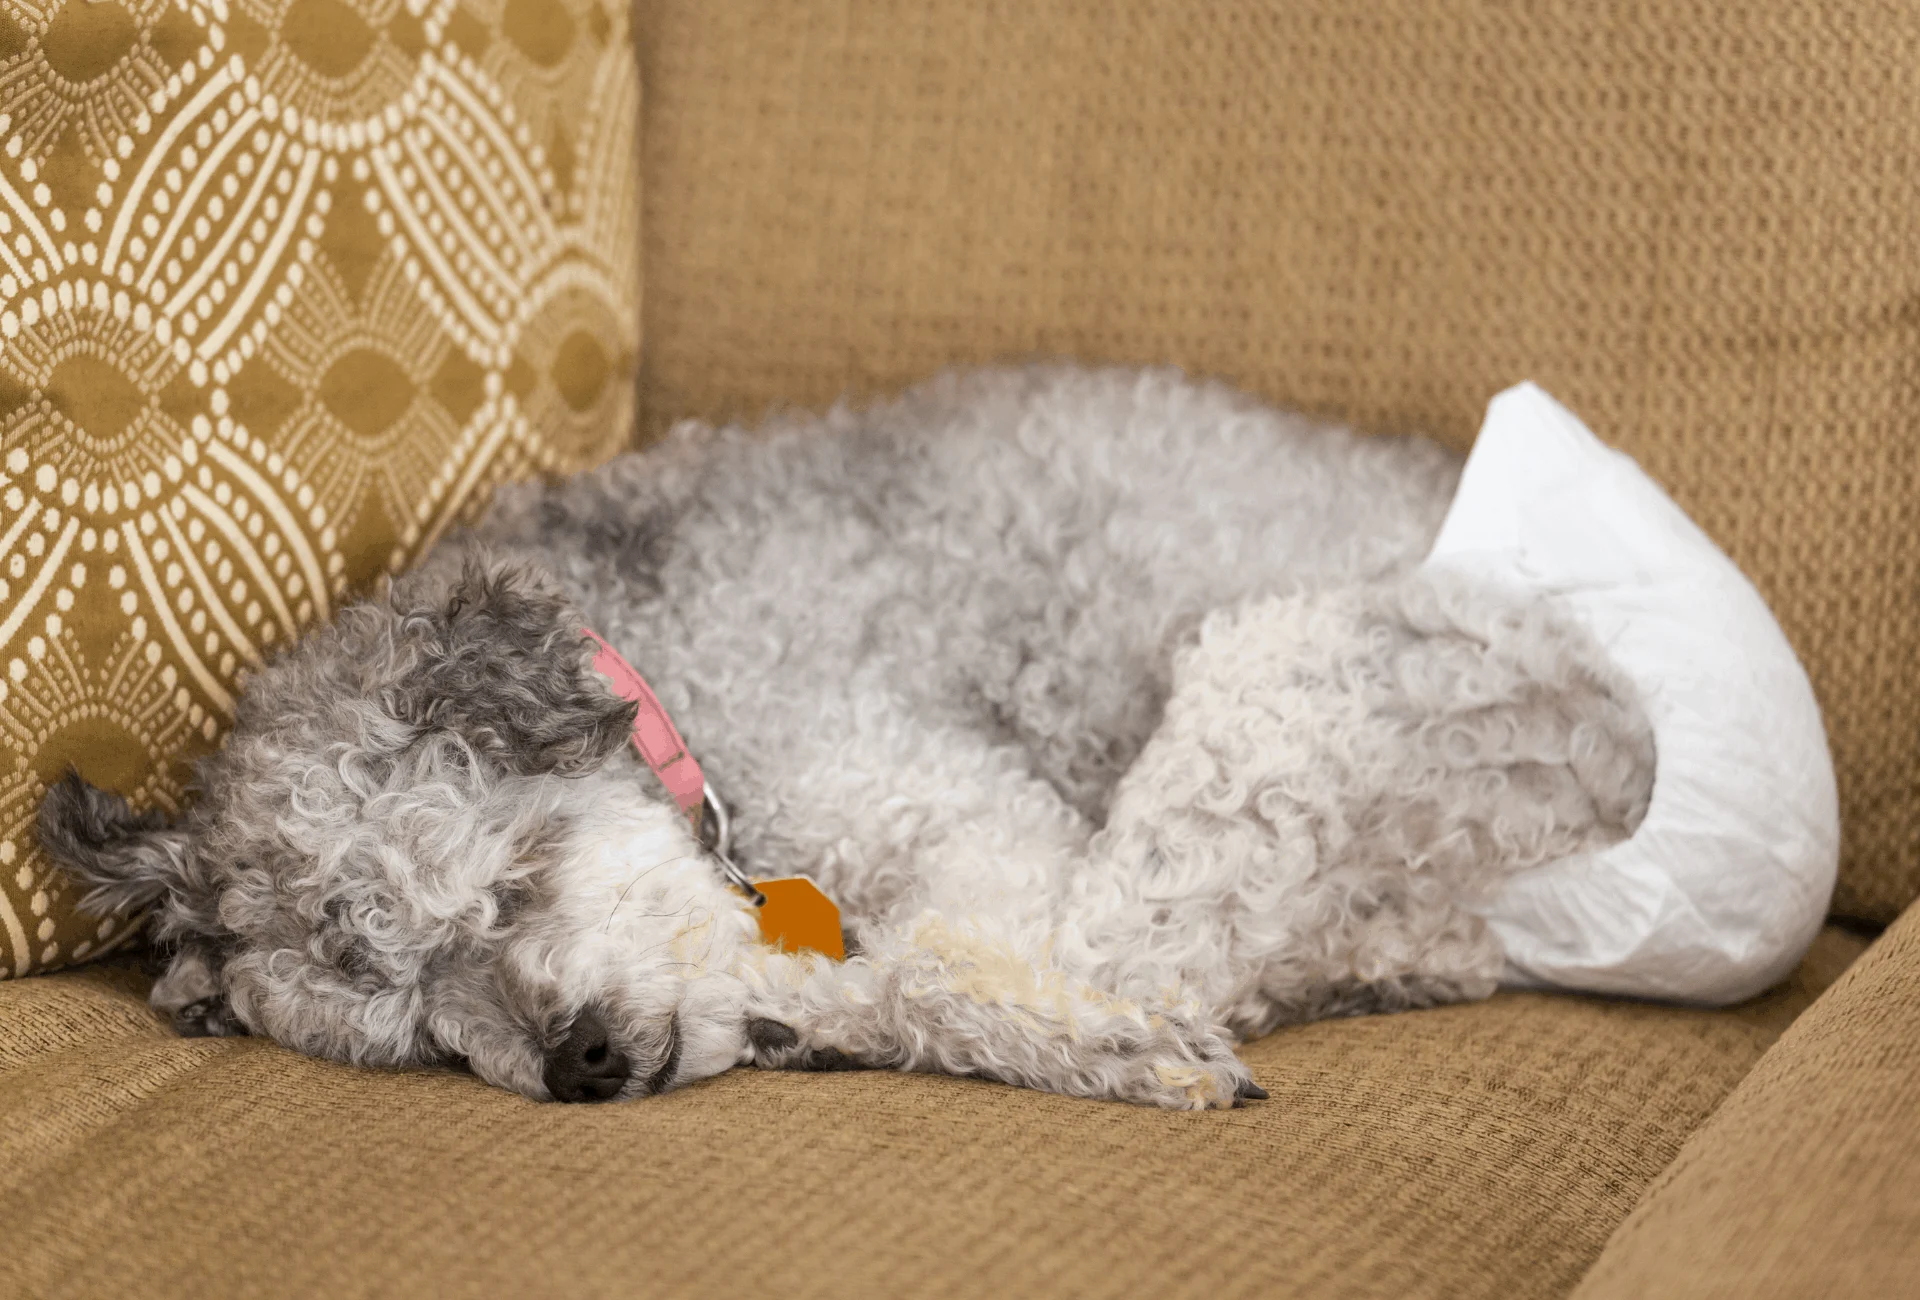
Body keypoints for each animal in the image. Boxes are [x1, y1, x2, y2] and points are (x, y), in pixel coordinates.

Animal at [33, 362, 1651, 1106]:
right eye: (422, 1035)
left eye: (513, 886)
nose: (580, 1063)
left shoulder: (956, 811)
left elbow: (941, 963)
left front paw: (1114, 1036)